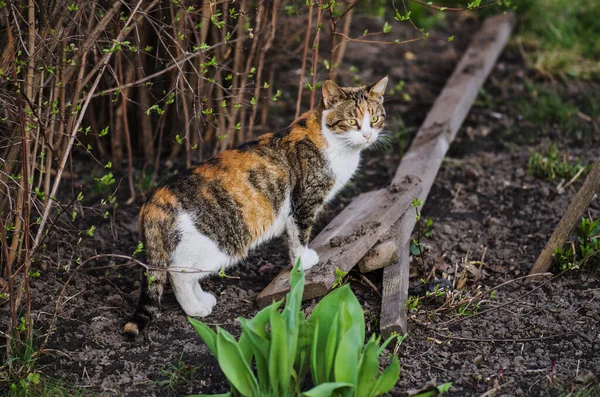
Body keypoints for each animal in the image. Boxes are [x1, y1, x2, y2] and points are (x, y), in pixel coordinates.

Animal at [124, 76, 392, 334]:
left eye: (375, 118)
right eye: (352, 121)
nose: (368, 135)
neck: (332, 141)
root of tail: (155, 198)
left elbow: (293, 235)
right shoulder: (304, 201)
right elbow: (299, 235)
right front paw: (303, 261)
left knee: (187, 275)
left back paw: (203, 300)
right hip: (214, 244)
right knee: (177, 274)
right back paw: (194, 309)